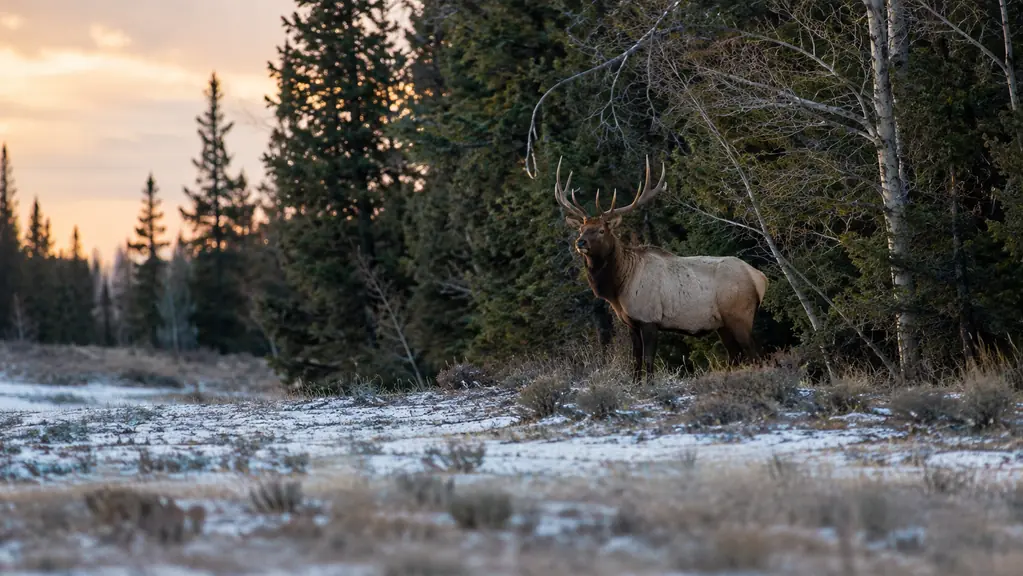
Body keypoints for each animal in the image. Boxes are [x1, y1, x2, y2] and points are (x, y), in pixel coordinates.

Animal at [554, 156, 769, 382]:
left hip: (740, 314)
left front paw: (649, 383)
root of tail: (760, 278)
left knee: (755, 353)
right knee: (736, 355)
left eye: (602, 230)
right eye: (581, 228)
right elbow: (636, 359)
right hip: (722, 323)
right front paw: (635, 383)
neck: (619, 287)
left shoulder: (649, 317)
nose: (580, 242)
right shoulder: (631, 322)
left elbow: (649, 360)